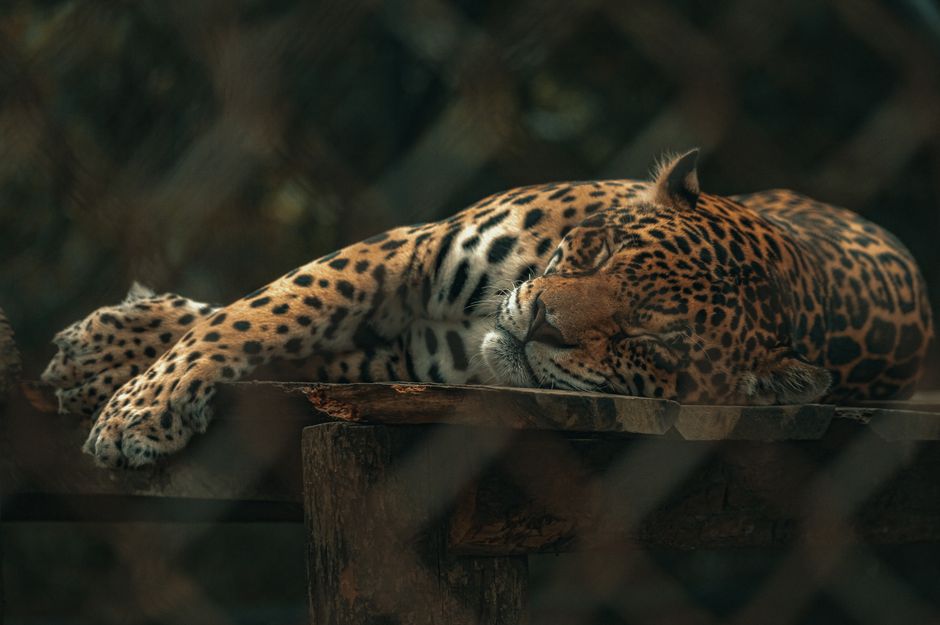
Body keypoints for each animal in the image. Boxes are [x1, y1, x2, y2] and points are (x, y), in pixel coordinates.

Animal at [43, 150, 934, 468]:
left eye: (650, 341)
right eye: (599, 251)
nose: (539, 321)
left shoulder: (400, 354)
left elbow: (277, 327)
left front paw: (136, 399)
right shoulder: (407, 250)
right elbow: (263, 309)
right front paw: (138, 402)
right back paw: (100, 342)